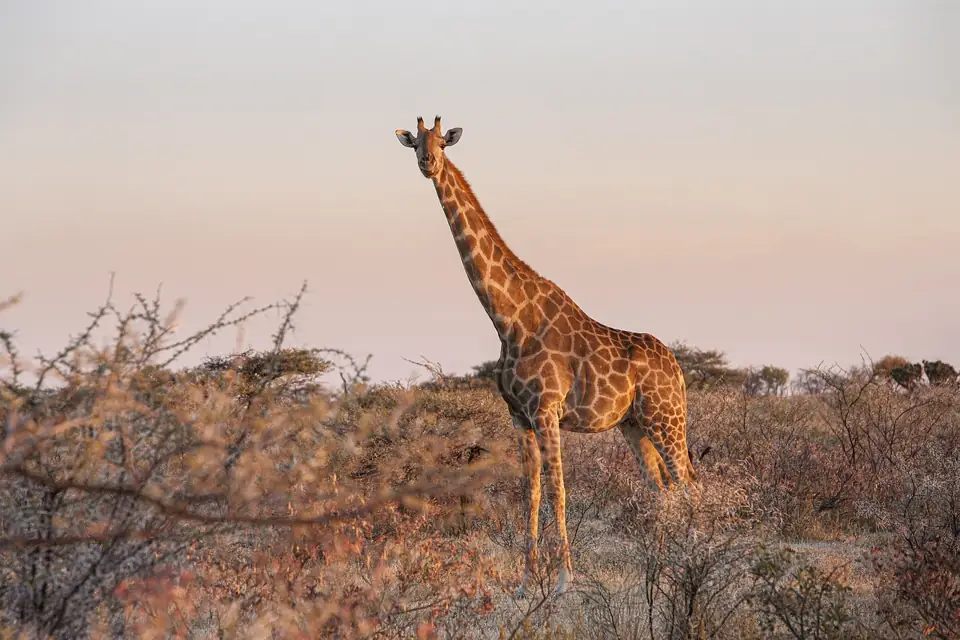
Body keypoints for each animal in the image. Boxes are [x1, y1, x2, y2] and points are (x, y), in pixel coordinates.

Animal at [394, 116, 692, 600]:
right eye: (415, 142)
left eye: (442, 141)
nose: (428, 162)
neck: (508, 317)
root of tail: (679, 371)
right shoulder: (519, 415)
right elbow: (529, 492)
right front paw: (524, 582)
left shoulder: (547, 410)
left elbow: (558, 491)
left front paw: (564, 581)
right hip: (634, 425)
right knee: (662, 489)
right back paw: (662, 571)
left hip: (667, 419)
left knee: (688, 484)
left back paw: (693, 563)